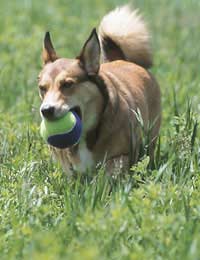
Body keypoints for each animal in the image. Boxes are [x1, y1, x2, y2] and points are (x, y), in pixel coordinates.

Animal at [38, 5, 162, 175]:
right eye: (42, 88)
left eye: (67, 84)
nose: (46, 110)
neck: (85, 136)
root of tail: (122, 59)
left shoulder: (121, 155)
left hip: (151, 132)